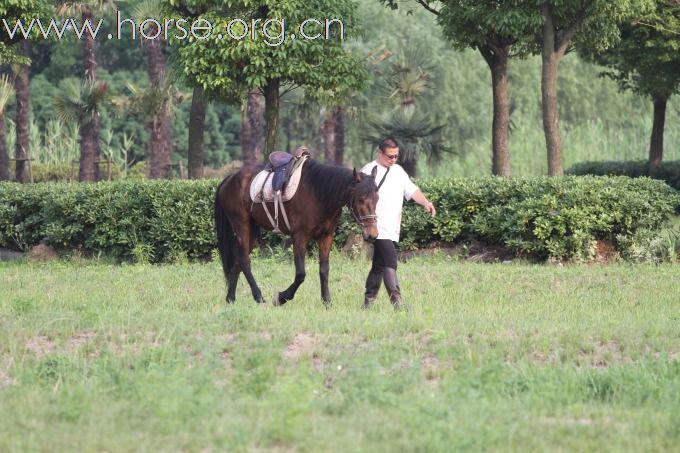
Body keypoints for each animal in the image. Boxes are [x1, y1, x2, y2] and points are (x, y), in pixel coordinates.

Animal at [215, 157, 380, 306]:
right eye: (361, 199)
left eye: (377, 199)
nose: (372, 234)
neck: (318, 194)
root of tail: (229, 179)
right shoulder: (300, 237)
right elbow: (301, 274)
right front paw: (282, 297)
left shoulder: (326, 237)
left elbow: (324, 269)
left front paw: (326, 301)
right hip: (241, 225)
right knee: (244, 260)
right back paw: (258, 296)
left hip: (252, 228)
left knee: (238, 261)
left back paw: (230, 298)